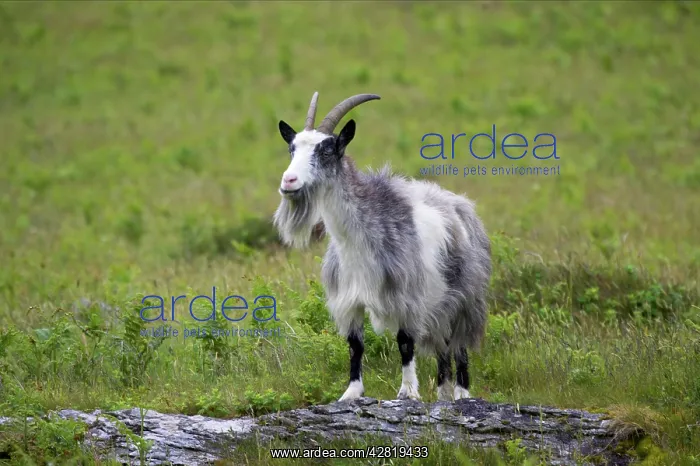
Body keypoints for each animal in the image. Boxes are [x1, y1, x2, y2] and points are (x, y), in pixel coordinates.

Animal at [273, 92, 491, 402]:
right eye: (292, 148)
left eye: (327, 150)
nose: (288, 181)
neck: (356, 241)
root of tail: (462, 205)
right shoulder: (349, 299)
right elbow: (355, 345)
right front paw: (351, 392)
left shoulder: (406, 295)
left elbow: (405, 342)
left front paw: (407, 392)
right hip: (439, 302)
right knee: (442, 345)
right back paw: (442, 394)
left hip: (467, 296)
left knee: (459, 343)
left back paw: (462, 394)